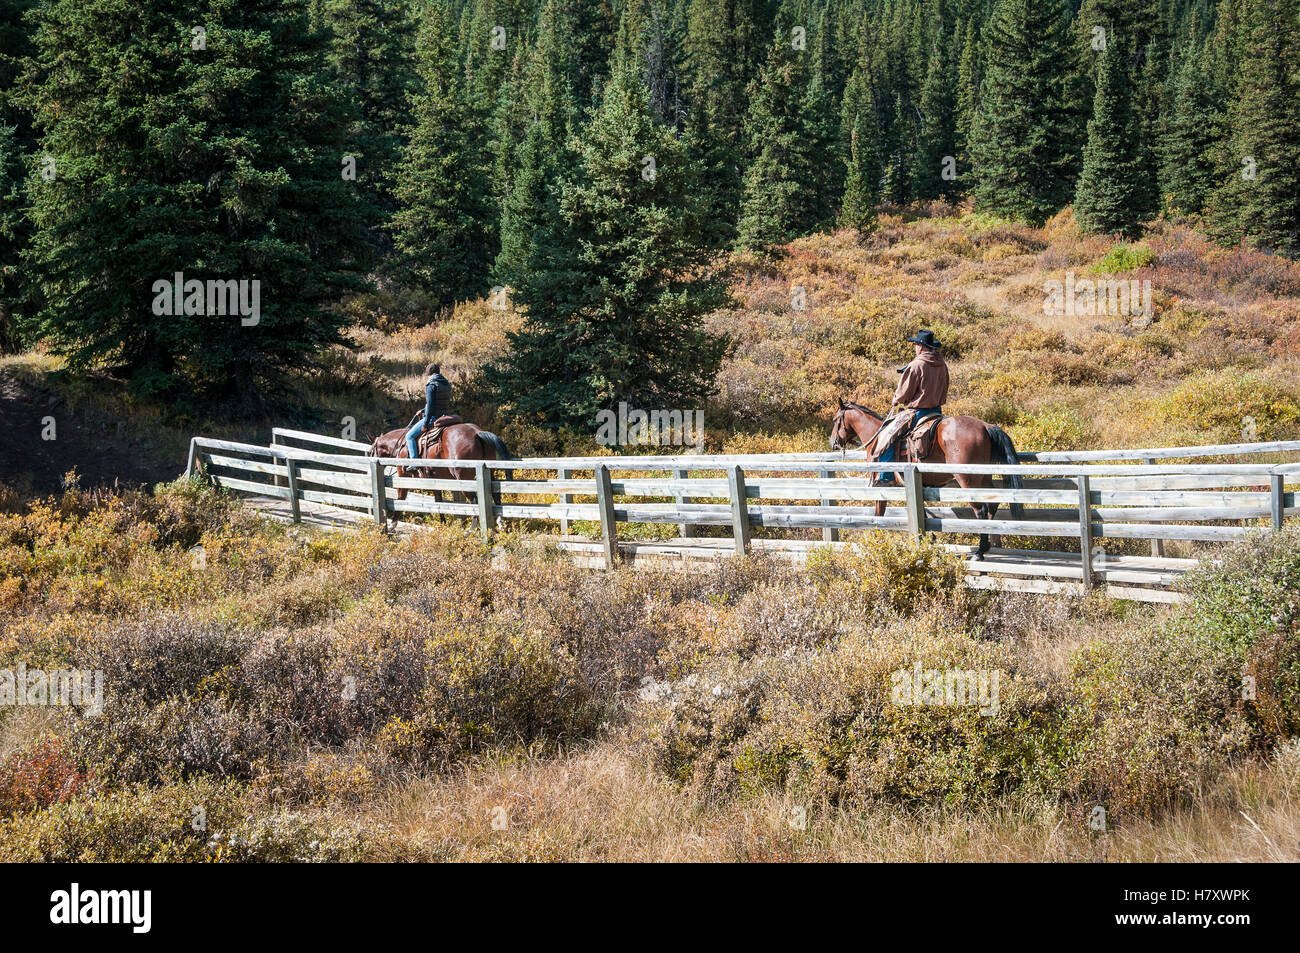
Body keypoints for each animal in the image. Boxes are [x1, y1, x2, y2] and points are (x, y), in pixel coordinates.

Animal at [367, 415, 515, 528]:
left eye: (370, 452)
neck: (401, 445)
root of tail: (477, 433)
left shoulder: (403, 477)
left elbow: (401, 497)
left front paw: (392, 524)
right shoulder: (434, 480)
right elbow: (438, 501)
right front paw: (443, 524)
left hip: (464, 479)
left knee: (473, 501)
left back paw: (472, 529)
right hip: (490, 472)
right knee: (495, 494)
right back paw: (500, 523)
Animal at [828, 398, 1021, 558]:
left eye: (835, 420)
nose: (833, 443)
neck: (875, 435)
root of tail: (985, 426)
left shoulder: (881, 487)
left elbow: (879, 513)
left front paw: (876, 539)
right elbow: (921, 509)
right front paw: (931, 537)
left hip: (967, 479)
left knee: (980, 509)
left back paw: (979, 552)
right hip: (983, 477)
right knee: (992, 504)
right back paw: (986, 545)